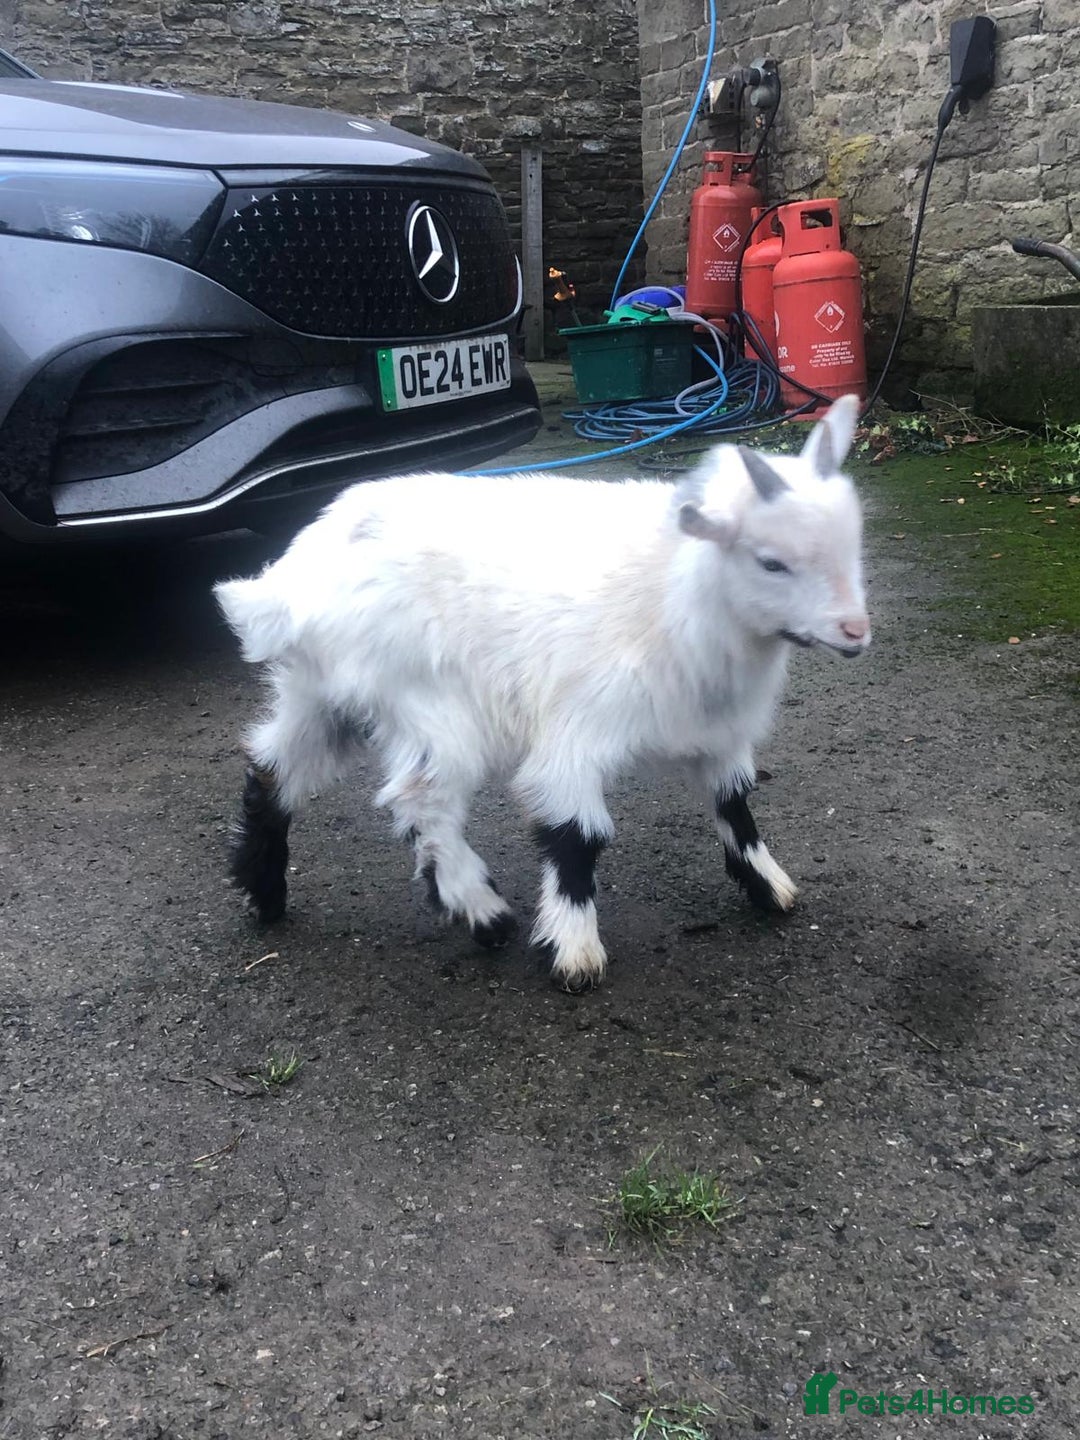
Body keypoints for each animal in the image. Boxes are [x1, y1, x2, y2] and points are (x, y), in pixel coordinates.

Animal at [215, 395, 870, 991]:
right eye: (770, 562)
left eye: (852, 544)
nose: (855, 632)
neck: (674, 586)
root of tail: (292, 585)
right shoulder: (577, 730)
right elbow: (576, 833)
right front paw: (574, 950)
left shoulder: (719, 732)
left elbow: (734, 802)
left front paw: (769, 887)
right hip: (430, 705)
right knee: (421, 800)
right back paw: (482, 912)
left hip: (323, 696)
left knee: (273, 772)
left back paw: (263, 890)